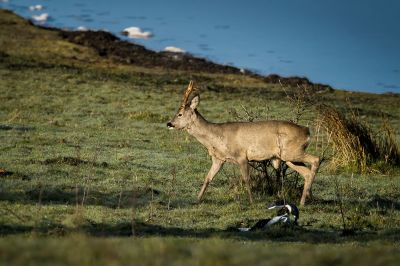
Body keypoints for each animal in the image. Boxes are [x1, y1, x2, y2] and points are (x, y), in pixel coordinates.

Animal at [167, 81, 320, 206]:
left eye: (180, 114)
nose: (169, 124)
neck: (216, 137)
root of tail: (307, 131)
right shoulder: (218, 159)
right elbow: (208, 178)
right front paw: (197, 200)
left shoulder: (241, 156)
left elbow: (246, 179)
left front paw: (252, 202)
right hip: (289, 157)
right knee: (306, 173)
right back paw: (303, 201)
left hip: (292, 151)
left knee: (316, 159)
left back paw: (308, 198)